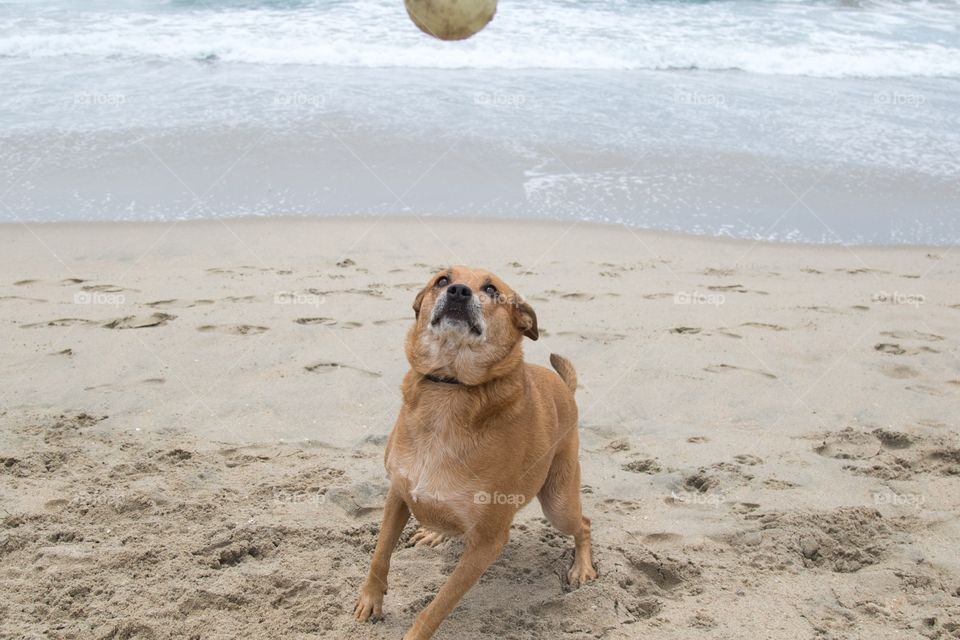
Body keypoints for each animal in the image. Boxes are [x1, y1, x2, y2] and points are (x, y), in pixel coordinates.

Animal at [354, 266, 592, 640]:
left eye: (491, 289)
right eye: (441, 279)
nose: (458, 291)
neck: (450, 386)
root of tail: (564, 388)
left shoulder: (487, 542)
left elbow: (437, 606)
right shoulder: (398, 493)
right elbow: (379, 555)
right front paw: (370, 599)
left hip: (559, 504)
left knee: (583, 524)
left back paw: (582, 567)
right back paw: (436, 531)